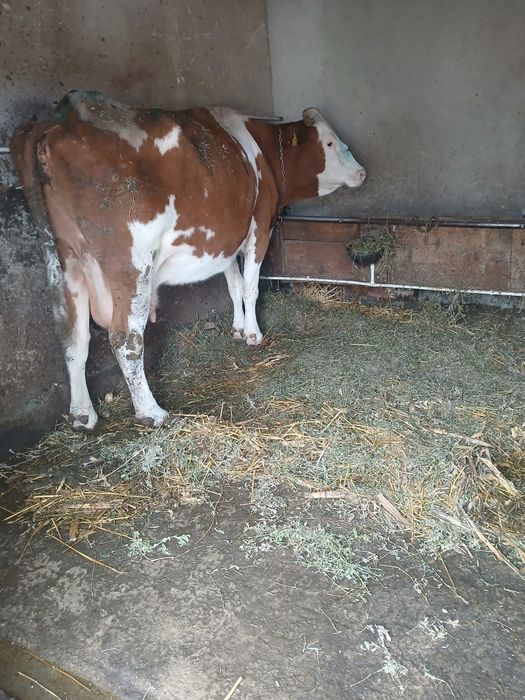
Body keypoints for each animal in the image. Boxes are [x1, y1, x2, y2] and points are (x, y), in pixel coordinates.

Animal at [10, 90, 366, 430]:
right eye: (330, 142)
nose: (362, 172)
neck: (262, 151)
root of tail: (59, 117)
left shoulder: (224, 238)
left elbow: (234, 285)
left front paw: (238, 328)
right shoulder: (259, 227)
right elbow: (250, 287)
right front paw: (253, 334)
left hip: (62, 260)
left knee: (73, 336)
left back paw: (83, 415)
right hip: (132, 264)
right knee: (125, 338)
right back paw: (151, 412)